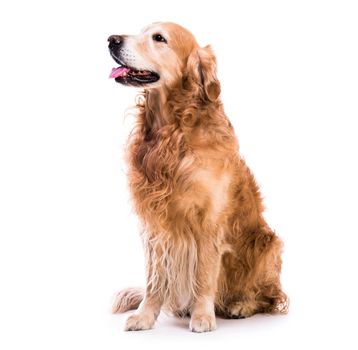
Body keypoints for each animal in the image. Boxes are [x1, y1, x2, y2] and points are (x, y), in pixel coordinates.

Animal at [108, 22, 288, 334]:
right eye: (142, 31)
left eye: (159, 38)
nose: (111, 40)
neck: (171, 130)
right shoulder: (154, 225)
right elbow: (154, 279)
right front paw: (145, 316)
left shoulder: (208, 221)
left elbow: (204, 274)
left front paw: (203, 316)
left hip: (268, 244)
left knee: (269, 297)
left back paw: (240, 305)